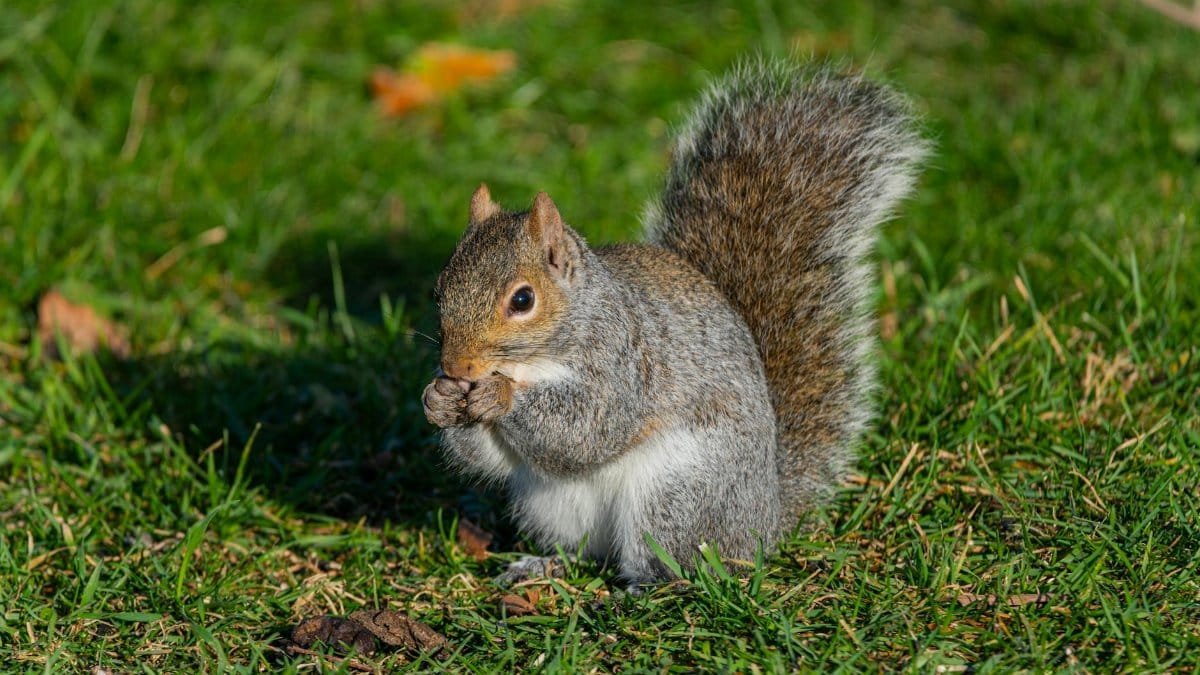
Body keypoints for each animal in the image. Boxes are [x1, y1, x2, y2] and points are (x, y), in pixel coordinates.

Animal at [422, 59, 928, 586]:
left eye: (523, 299)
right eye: (438, 289)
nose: (456, 367)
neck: (535, 360)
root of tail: (764, 520)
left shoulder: (624, 360)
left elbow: (588, 428)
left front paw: (499, 395)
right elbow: (492, 457)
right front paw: (438, 398)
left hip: (677, 495)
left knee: (681, 564)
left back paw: (642, 590)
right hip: (555, 506)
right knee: (586, 552)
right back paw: (542, 565)